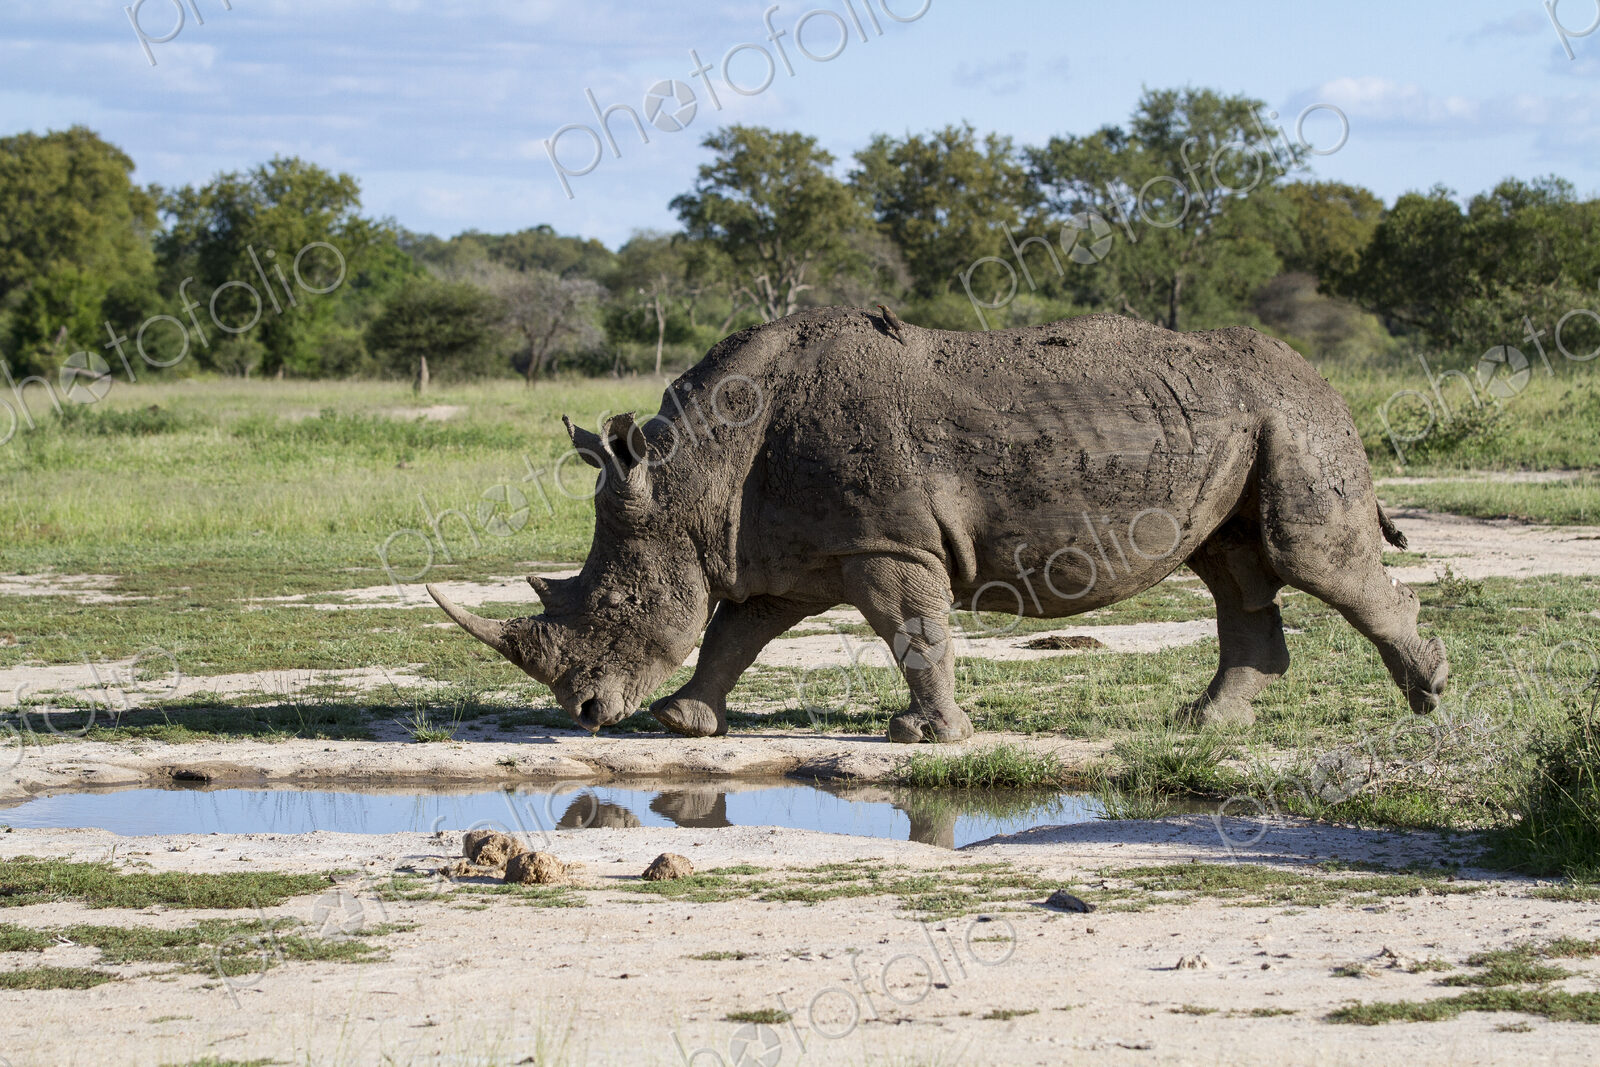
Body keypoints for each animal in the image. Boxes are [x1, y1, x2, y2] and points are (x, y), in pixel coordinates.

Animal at [427, 307, 1448, 743]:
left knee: (1306, 555)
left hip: (1294, 416)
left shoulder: (887, 541)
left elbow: (913, 632)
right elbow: (735, 632)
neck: (692, 478)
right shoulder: (785, 548)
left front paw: (926, 738)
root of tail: (1321, 373)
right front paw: (686, 723)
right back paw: (1200, 724)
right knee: (1233, 564)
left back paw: (1430, 694)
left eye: (617, 606)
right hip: (1238, 419)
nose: (584, 715)